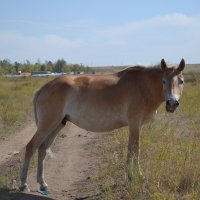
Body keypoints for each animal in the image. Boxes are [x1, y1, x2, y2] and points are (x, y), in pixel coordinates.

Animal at [19, 58, 185, 192]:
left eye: (181, 81)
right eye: (163, 81)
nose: (172, 103)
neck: (142, 85)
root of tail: (44, 88)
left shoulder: (136, 126)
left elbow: (132, 148)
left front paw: (131, 175)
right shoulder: (135, 124)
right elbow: (134, 150)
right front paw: (136, 176)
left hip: (57, 125)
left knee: (42, 150)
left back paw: (42, 184)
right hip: (47, 125)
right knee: (30, 147)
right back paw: (23, 184)